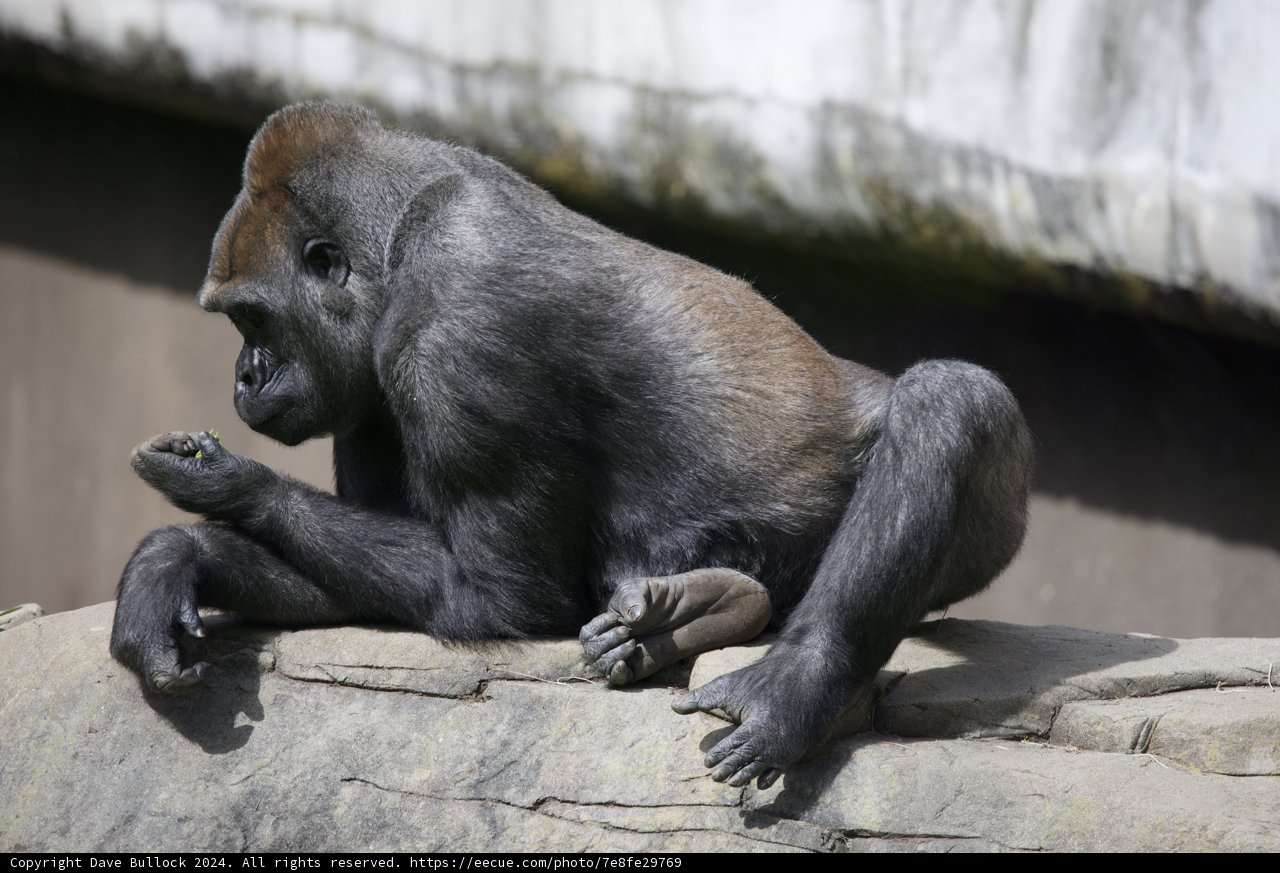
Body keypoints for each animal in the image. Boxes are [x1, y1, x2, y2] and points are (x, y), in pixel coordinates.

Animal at [112, 103, 1032, 790]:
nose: (244, 377)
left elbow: (495, 593)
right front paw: (179, 558)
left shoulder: (456, 330)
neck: (396, 239)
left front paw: (224, 485)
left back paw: (799, 681)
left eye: (251, 317)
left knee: (948, 400)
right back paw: (705, 609)